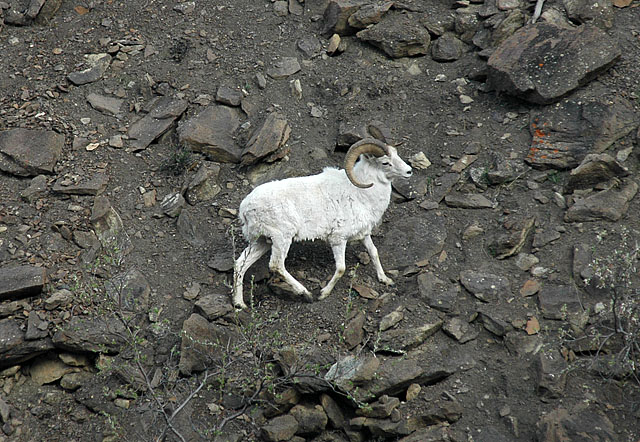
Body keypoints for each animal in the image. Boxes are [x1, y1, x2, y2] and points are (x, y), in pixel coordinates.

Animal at [232, 137, 412, 308]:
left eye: (396, 154)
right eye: (385, 162)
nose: (409, 171)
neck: (361, 195)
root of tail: (246, 208)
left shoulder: (364, 234)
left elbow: (374, 253)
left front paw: (385, 280)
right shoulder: (338, 239)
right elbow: (341, 268)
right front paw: (323, 294)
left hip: (263, 241)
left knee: (240, 264)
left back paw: (239, 304)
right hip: (281, 238)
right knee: (276, 265)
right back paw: (306, 294)